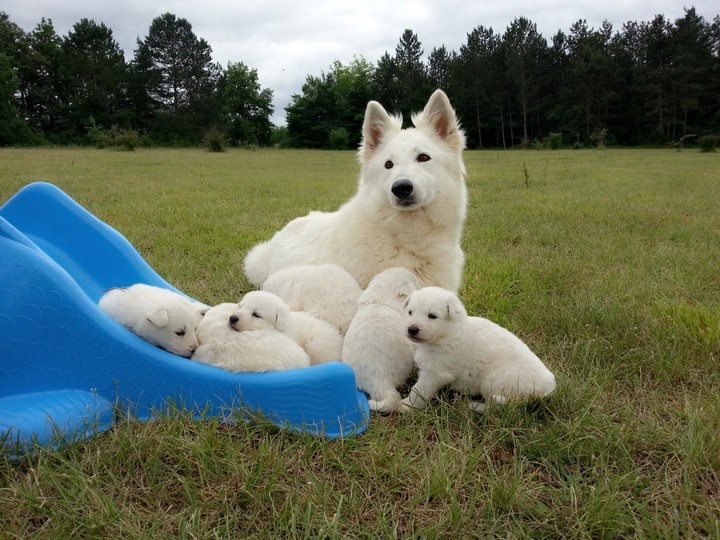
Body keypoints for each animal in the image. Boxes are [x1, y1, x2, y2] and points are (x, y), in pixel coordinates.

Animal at [400, 288, 556, 412]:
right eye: (410, 312)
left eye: (432, 316)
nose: (411, 329)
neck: (448, 335)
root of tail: (548, 389)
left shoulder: (435, 374)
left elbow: (418, 391)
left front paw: (404, 405)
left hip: (495, 381)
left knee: (496, 408)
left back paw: (472, 405)